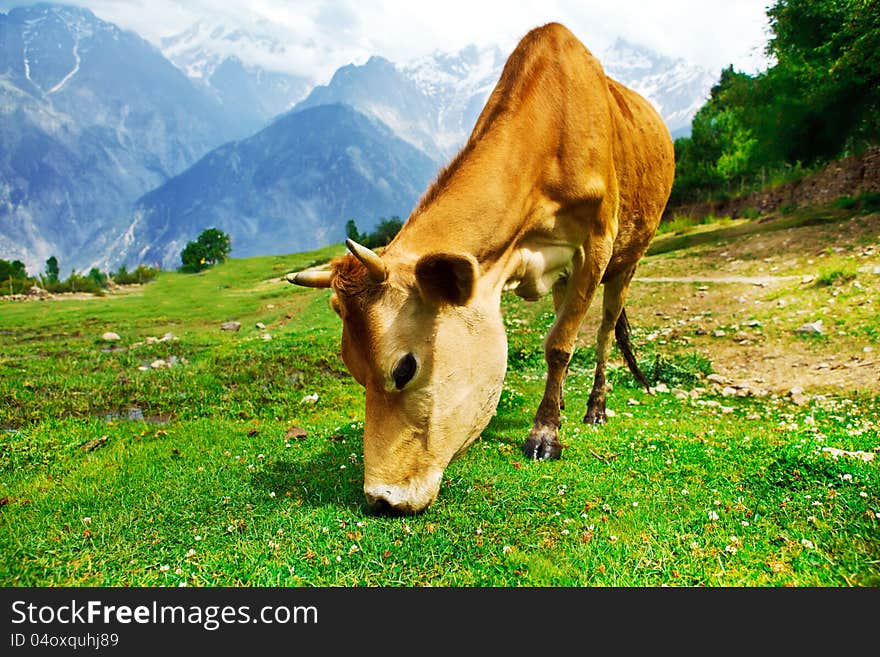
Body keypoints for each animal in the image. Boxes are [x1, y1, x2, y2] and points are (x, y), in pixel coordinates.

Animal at [288, 21, 672, 512]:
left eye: (403, 369)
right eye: (353, 369)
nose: (381, 498)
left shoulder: (597, 244)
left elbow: (560, 345)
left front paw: (545, 433)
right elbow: (560, 339)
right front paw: (552, 416)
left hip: (630, 255)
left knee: (605, 329)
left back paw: (594, 407)